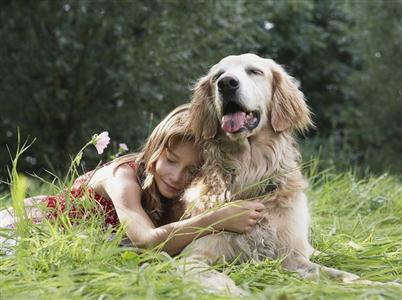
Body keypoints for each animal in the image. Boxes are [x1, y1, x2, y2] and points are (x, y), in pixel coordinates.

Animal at [178, 52, 362, 294]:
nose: (226, 83)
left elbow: (344, 275)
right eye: (217, 76)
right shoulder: (193, 255)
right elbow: (217, 277)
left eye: (254, 71)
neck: (249, 172)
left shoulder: (291, 257)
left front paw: (383, 285)